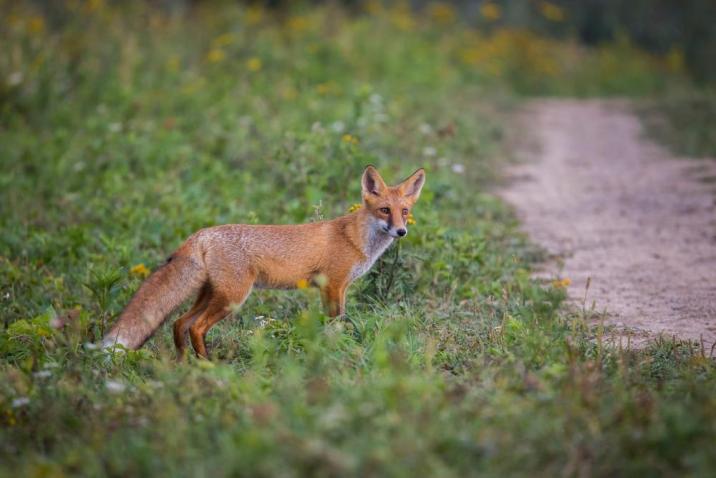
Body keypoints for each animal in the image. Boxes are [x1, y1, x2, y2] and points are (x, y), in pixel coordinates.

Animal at [100, 166, 426, 360]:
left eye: (405, 212)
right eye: (384, 210)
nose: (401, 231)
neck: (355, 238)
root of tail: (203, 233)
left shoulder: (337, 288)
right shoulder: (332, 285)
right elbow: (336, 323)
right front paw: (336, 351)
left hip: (211, 294)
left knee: (180, 323)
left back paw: (184, 365)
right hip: (232, 298)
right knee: (196, 328)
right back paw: (208, 366)